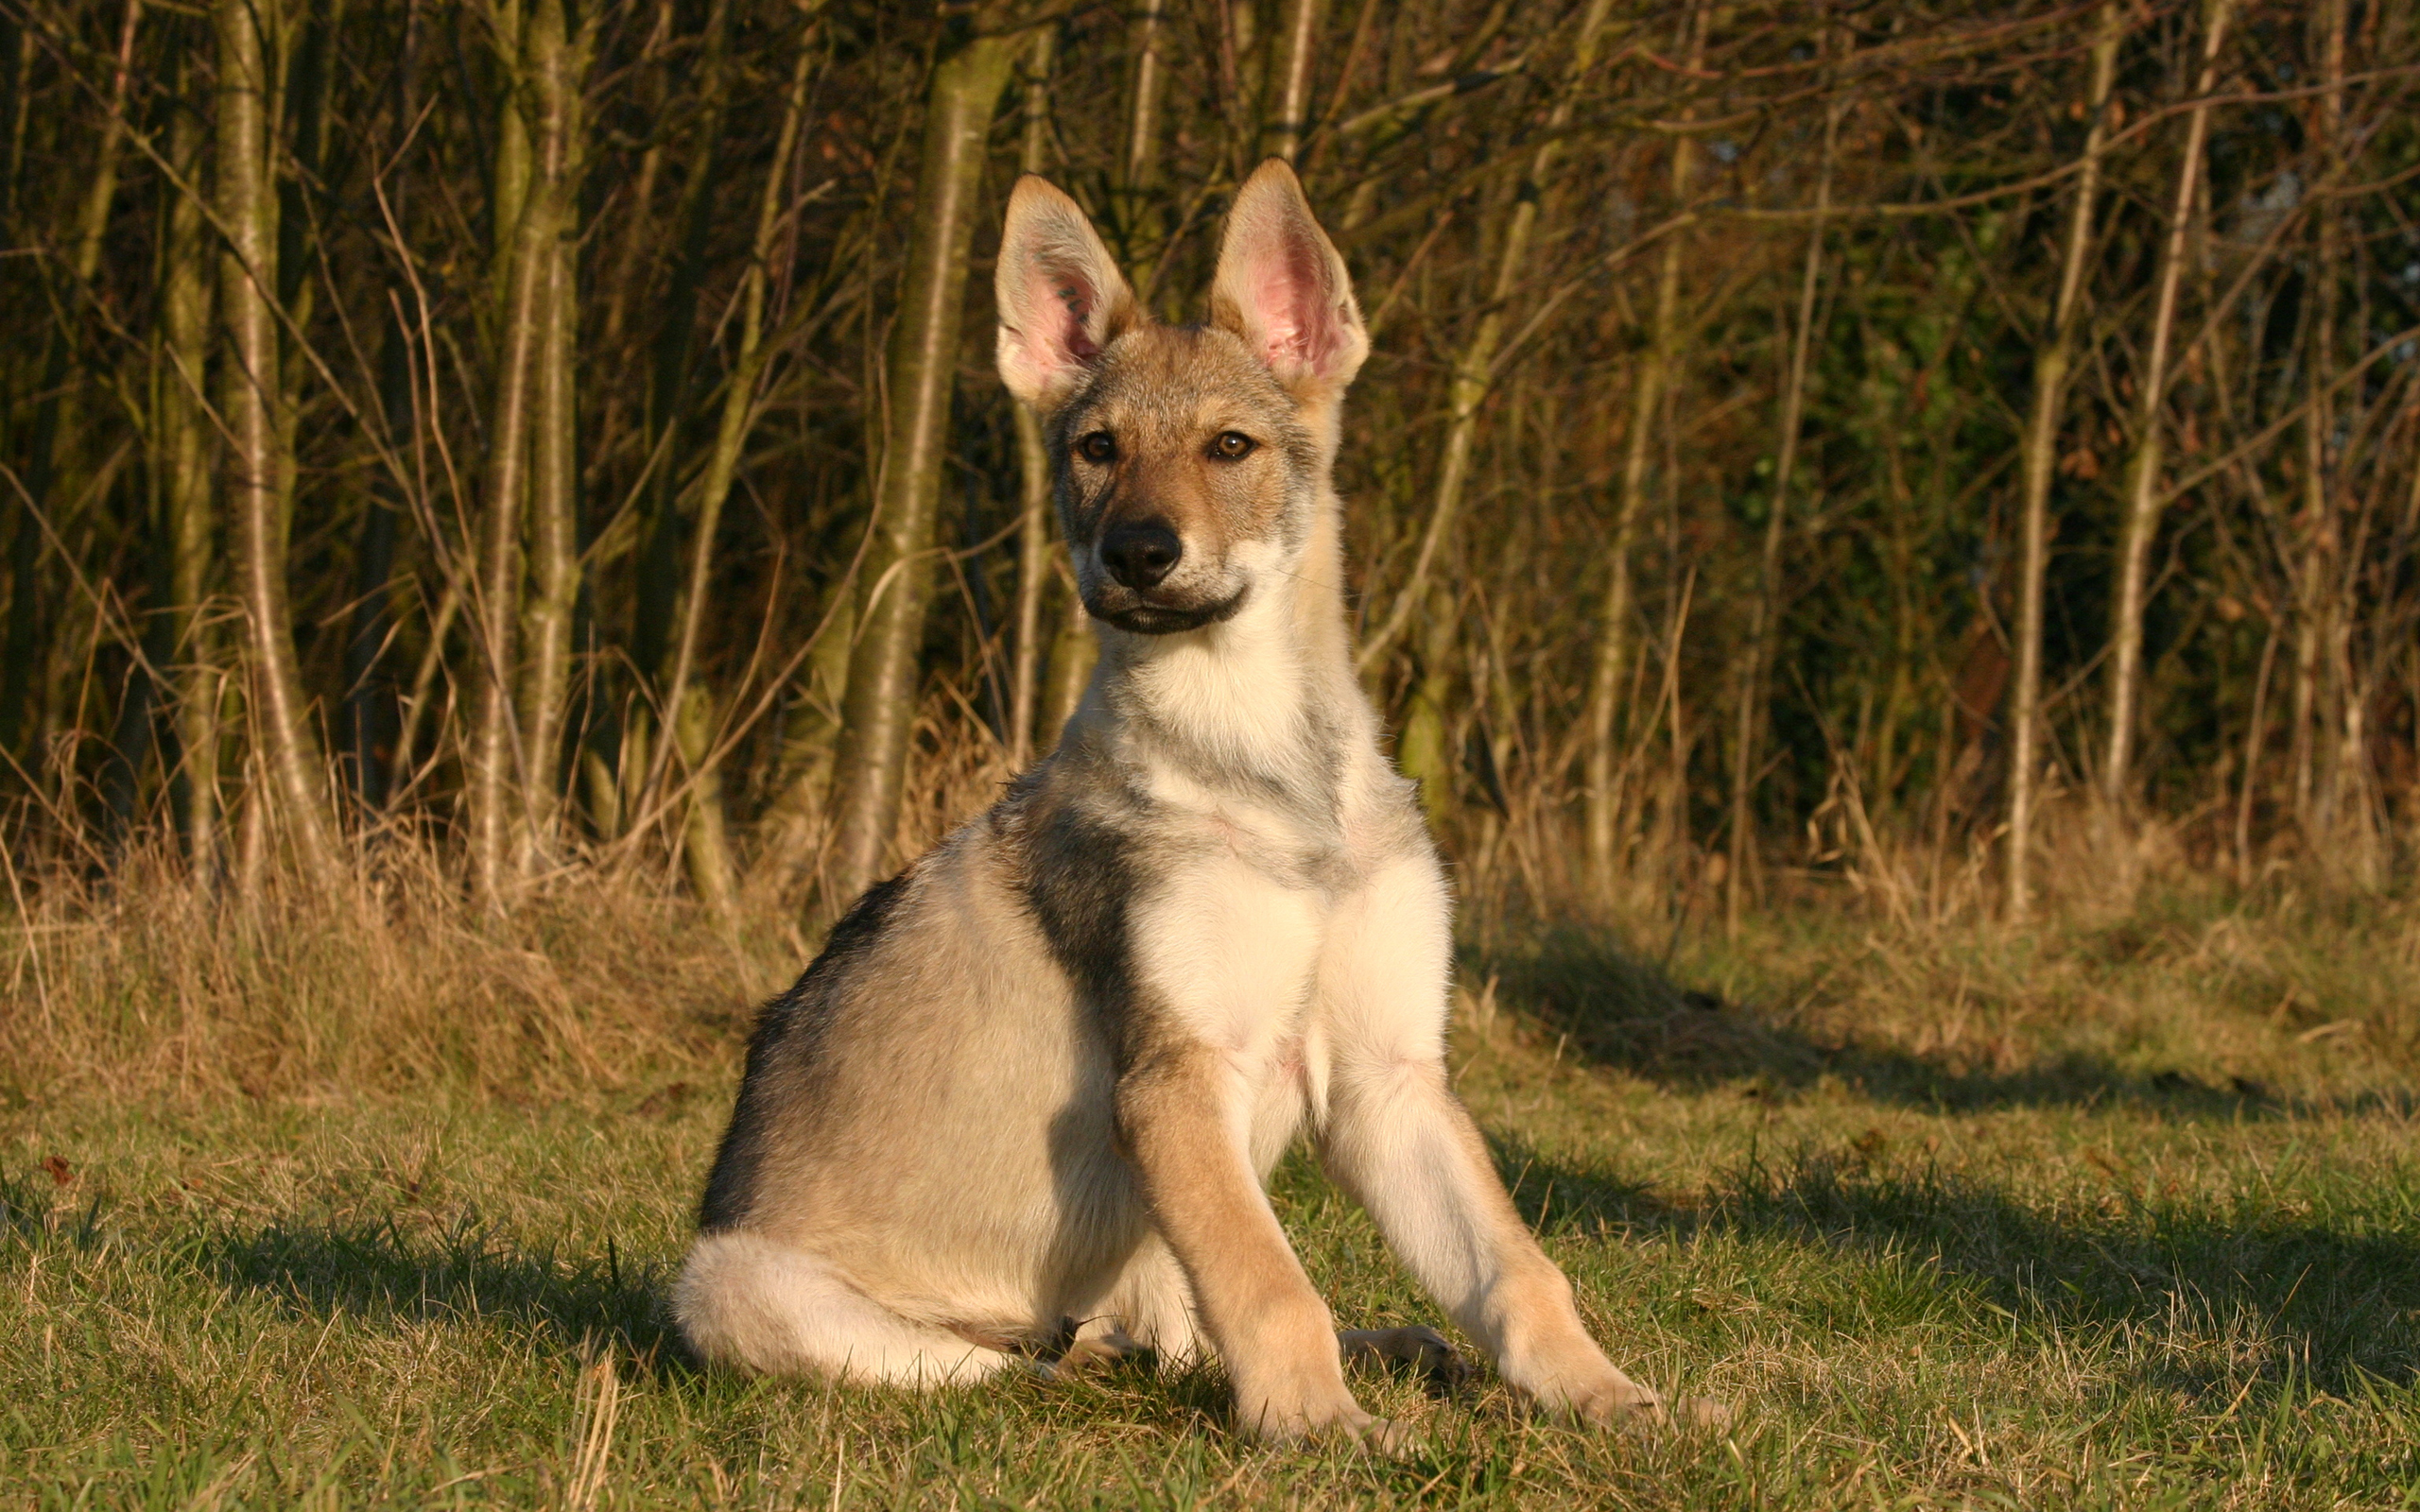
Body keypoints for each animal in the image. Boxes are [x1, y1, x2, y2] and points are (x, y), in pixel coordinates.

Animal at [677, 159, 1684, 1441]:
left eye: (1229, 445)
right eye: (1097, 448)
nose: (1139, 555)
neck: (1272, 770)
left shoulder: (1391, 1075)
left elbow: (1514, 1270)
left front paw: (1612, 1400)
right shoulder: (1178, 1077)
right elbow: (1272, 1286)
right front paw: (1327, 1433)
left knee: (1167, 1330)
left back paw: (1387, 1345)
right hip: (734, 1280)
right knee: (1003, 1362)